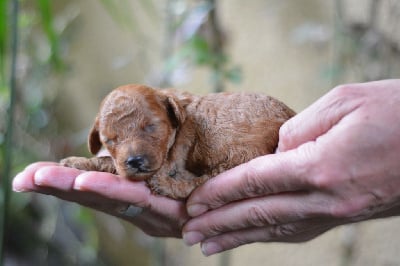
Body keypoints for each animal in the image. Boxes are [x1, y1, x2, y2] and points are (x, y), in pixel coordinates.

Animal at [61, 84, 296, 198]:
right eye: (110, 140)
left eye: (151, 126)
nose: (134, 161)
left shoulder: (170, 158)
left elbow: (108, 162)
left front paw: (76, 161)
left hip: (239, 155)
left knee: (201, 183)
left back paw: (167, 185)